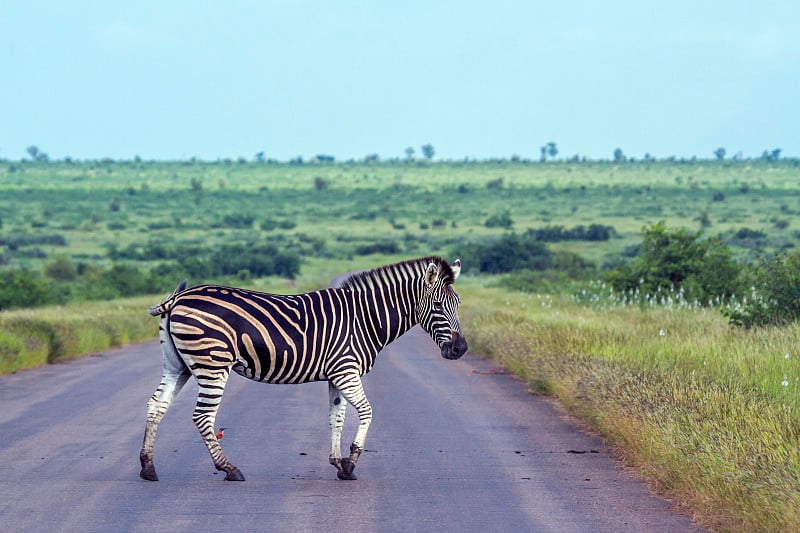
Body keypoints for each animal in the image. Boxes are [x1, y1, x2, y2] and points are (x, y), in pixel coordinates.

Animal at [141, 256, 468, 480]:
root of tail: (178, 298)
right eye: (438, 306)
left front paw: (338, 464)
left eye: (459, 304)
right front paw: (352, 462)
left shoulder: (337, 374)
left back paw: (148, 467)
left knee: (156, 406)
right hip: (212, 362)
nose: (461, 349)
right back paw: (229, 469)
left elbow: (336, 417)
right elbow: (366, 412)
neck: (366, 318)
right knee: (202, 416)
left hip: (177, 365)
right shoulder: (347, 371)